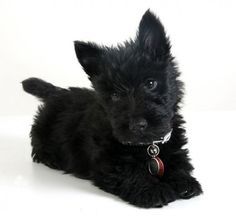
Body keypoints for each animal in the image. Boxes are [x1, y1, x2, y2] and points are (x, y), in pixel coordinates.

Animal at [22, 9, 203, 207]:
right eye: (115, 95)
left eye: (150, 83)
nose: (137, 125)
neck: (149, 146)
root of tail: (58, 92)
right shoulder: (109, 162)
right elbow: (131, 172)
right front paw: (153, 189)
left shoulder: (174, 145)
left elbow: (179, 162)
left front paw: (184, 182)